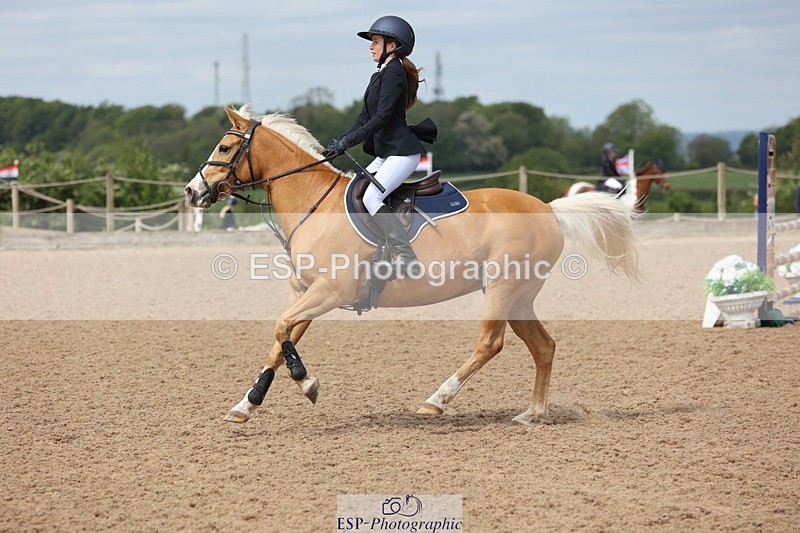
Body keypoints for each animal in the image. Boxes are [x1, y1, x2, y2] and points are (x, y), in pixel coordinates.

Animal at [184, 106, 641, 426]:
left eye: (224, 148)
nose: (192, 192)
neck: (313, 204)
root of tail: (549, 207)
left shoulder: (329, 292)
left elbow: (281, 333)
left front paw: (308, 384)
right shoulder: (305, 292)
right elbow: (279, 342)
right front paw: (245, 405)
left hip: (503, 289)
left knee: (490, 344)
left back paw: (436, 401)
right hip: (519, 297)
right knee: (543, 346)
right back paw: (533, 414)